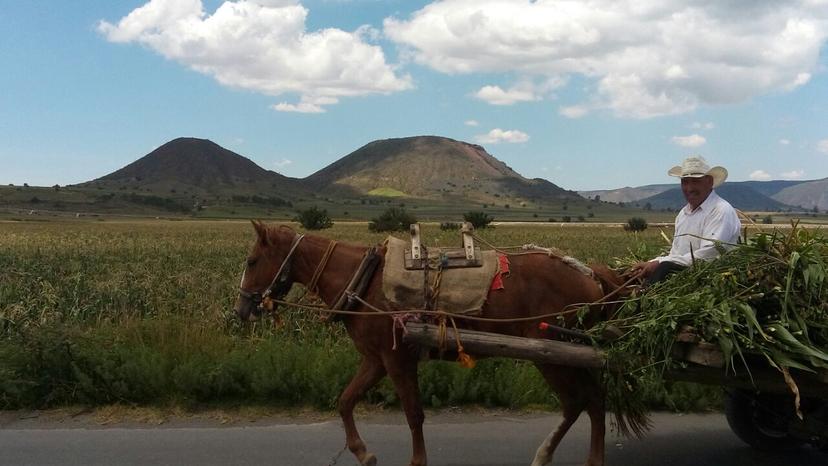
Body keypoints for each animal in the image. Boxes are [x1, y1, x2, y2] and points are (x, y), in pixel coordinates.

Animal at [233, 222, 640, 466]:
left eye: (251, 260)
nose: (240, 310)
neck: (362, 281)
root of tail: (593, 274)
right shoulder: (376, 360)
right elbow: (345, 401)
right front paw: (363, 453)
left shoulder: (397, 360)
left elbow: (413, 413)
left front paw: (416, 461)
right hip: (564, 355)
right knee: (583, 402)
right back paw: (545, 454)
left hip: (553, 353)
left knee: (587, 400)